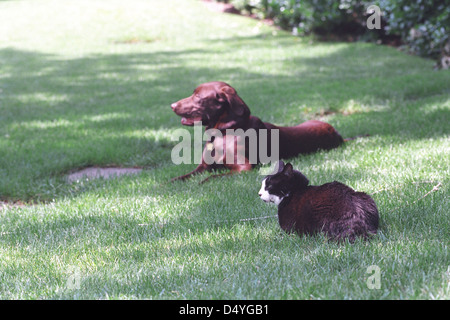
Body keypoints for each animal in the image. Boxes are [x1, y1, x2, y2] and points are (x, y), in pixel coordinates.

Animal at [171, 81, 342, 181]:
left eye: (198, 96)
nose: (172, 105)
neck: (224, 131)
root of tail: (338, 135)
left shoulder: (244, 168)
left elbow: (213, 177)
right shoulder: (203, 167)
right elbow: (180, 177)